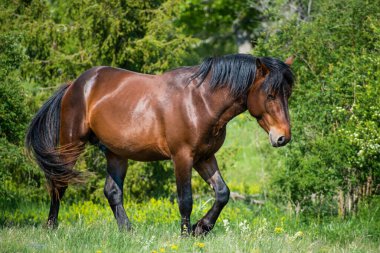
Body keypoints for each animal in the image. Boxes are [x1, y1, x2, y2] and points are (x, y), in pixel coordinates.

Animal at [25, 53, 296, 235]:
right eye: (270, 94)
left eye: (287, 94)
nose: (282, 137)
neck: (201, 102)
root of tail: (75, 85)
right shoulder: (182, 157)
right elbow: (185, 199)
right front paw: (186, 234)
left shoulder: (205, 157)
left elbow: (222, 193)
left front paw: (201, 227)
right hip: (71, 144)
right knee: (59, 183)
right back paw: (51, 226)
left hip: (116, 153)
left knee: (112, 192)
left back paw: (128, 231)